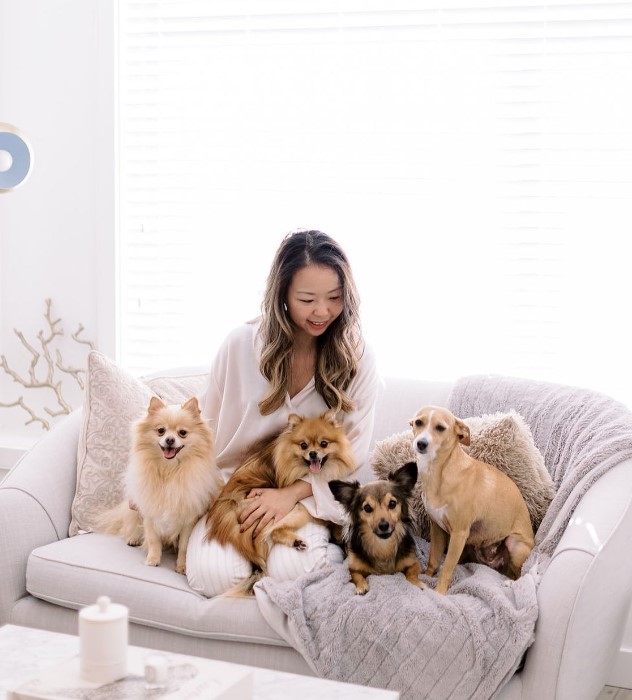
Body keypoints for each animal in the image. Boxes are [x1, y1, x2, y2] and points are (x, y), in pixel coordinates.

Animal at [326, 462, 424, 592]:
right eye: (367, 508)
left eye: (392, 504)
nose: (383, 525)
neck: (383, 546)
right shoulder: (352, 568)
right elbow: (356, 576)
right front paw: (361, 587)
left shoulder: (414, 563)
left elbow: (411, 573)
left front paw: (417, 583)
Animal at [408, 404, 536, 596]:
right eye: (418, 422)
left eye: (440, 428)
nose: (421, 443)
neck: (439, 472)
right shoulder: (436, 528)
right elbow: (434, 558)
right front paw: (427, 576)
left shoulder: (459, 534)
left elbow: (447, 567)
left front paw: (439, 593)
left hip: (514, 544)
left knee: (519, 575)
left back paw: (509, 584)